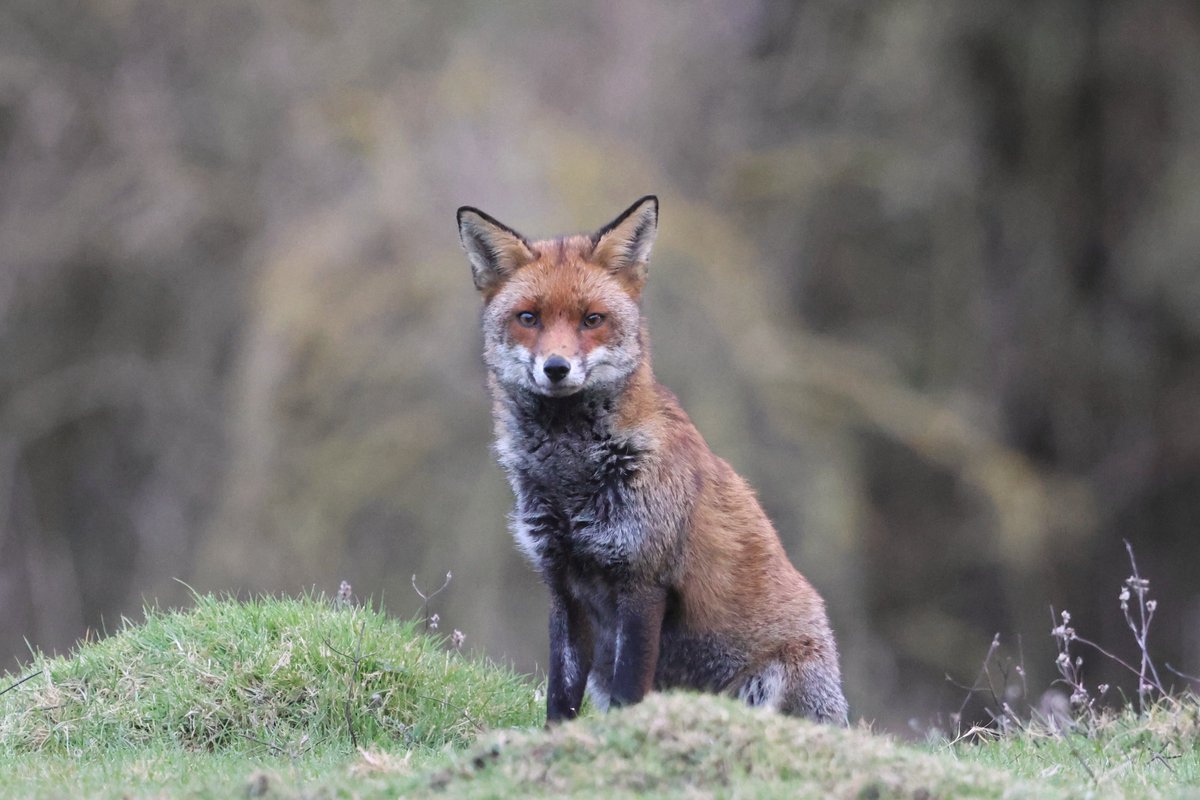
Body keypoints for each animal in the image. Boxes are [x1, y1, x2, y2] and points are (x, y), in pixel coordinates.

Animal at [456, 196, 848, 725]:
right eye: (529, 318)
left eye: (592, 319)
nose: (556, 368)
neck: (571, 480)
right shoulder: (563, 586)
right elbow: (560, 699)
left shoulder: (643, 582)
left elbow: (629, 696)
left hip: (775, 683)